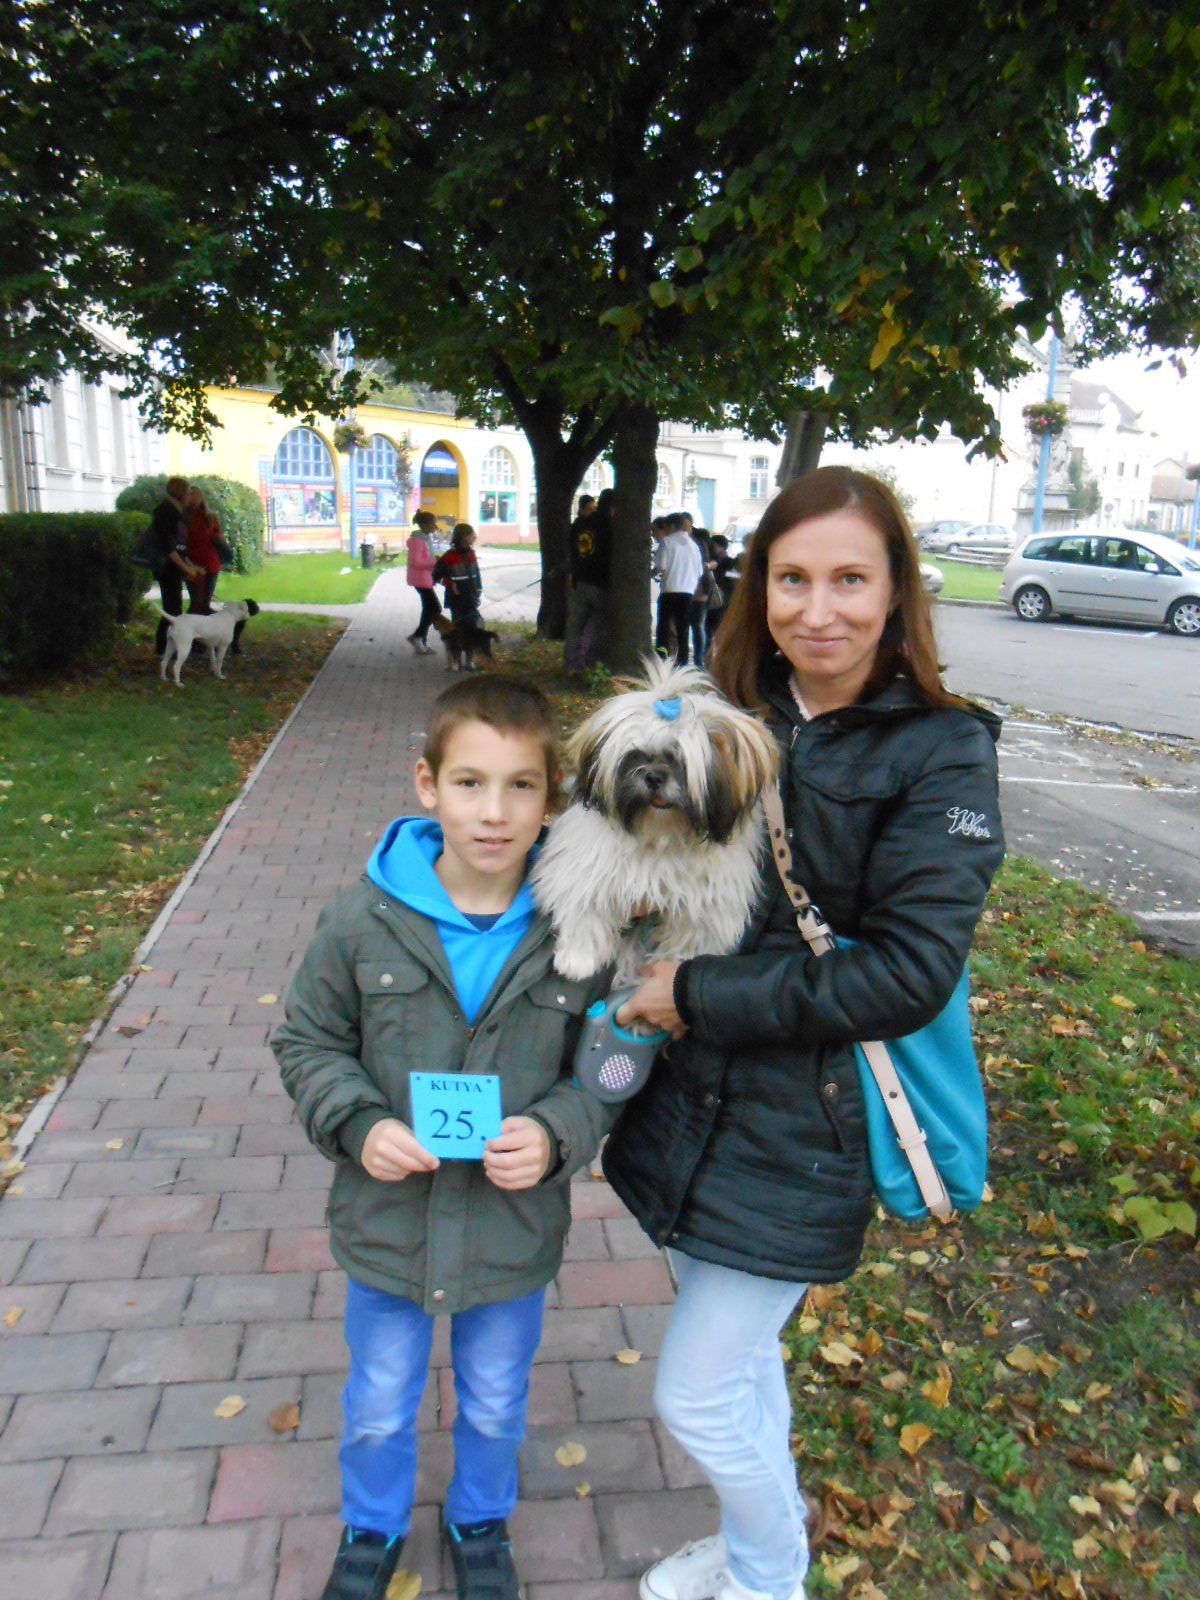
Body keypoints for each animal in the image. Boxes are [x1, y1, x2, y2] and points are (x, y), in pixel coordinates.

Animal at [530, 656, 779, 984]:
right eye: (636, 756)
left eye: (679, 760)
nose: (654, 776)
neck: (660, 837)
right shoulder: (584, 863)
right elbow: (585, 904)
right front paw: (578, 958)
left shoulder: (707, 902)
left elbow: (690, 935)